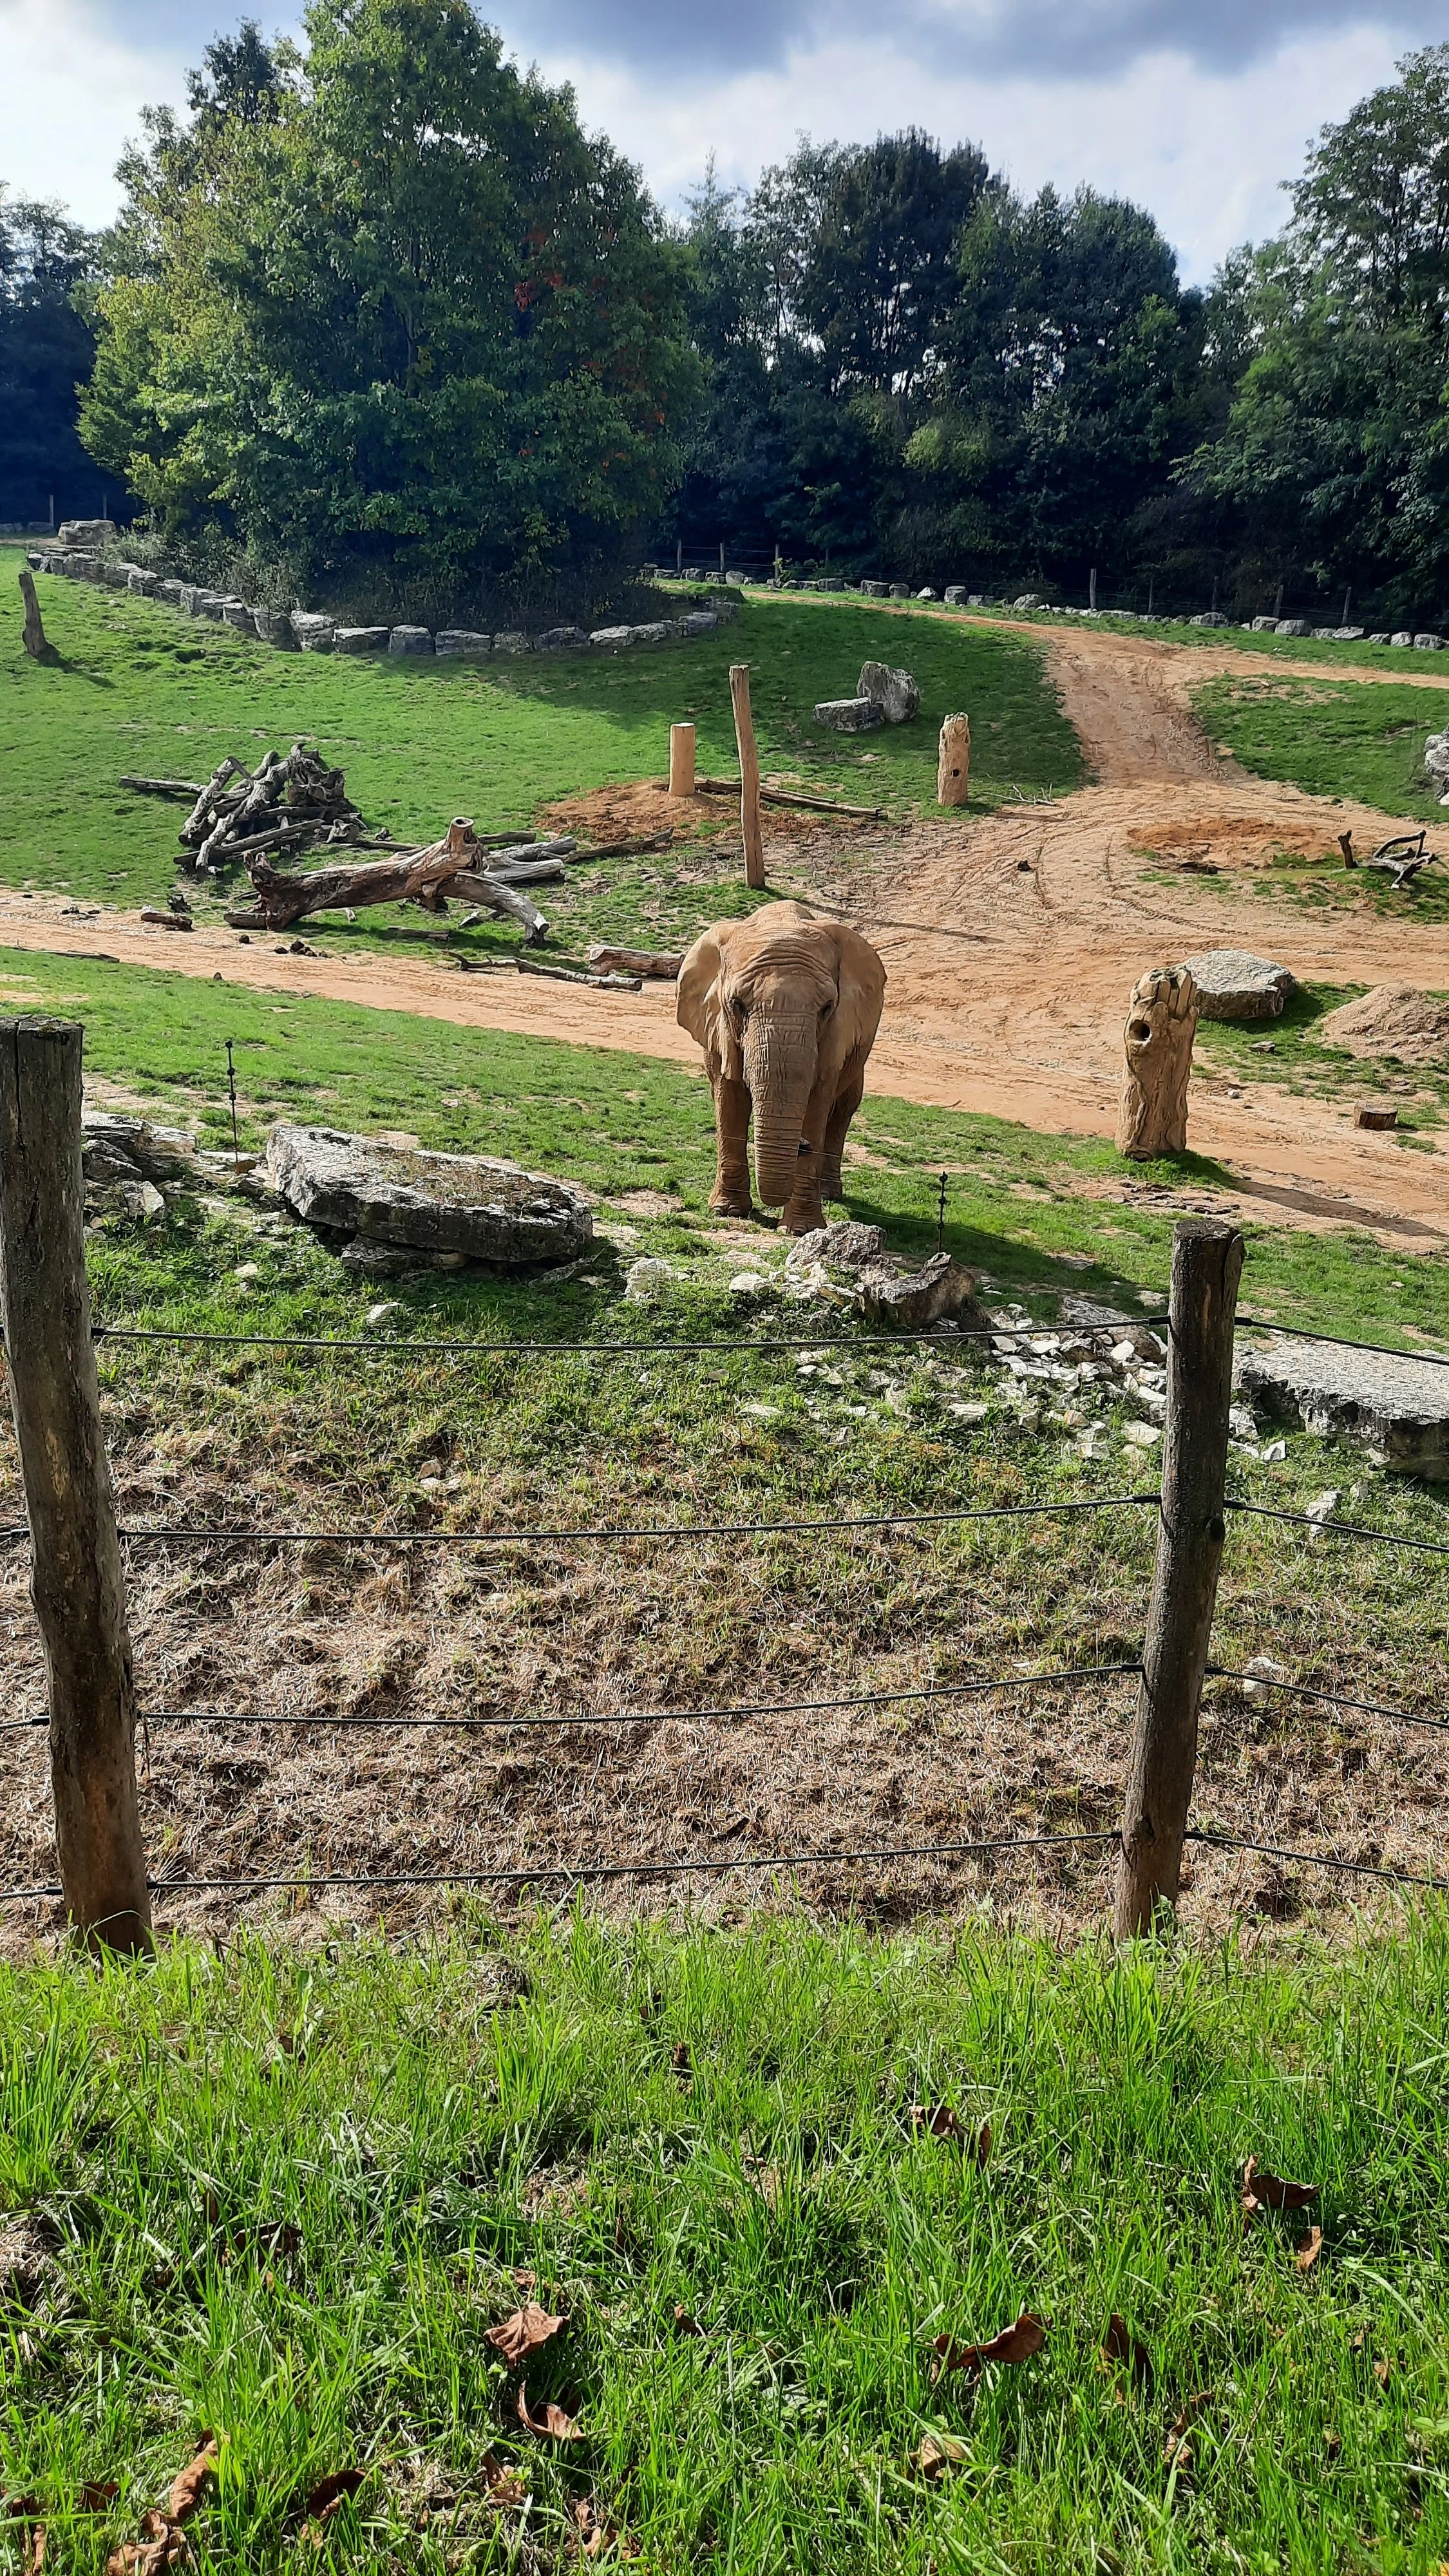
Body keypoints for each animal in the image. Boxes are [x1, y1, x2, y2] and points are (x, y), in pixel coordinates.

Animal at [676, 900, 886, 1233]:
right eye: (737, 1005)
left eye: (827, 1008)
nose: (803, 1146)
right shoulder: (719, 1031)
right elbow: (729, 1098)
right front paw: (727, 1212)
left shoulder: (833, 1040)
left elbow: (817, 1105)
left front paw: (802, 1230)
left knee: (844, 1109)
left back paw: (829, 1194)